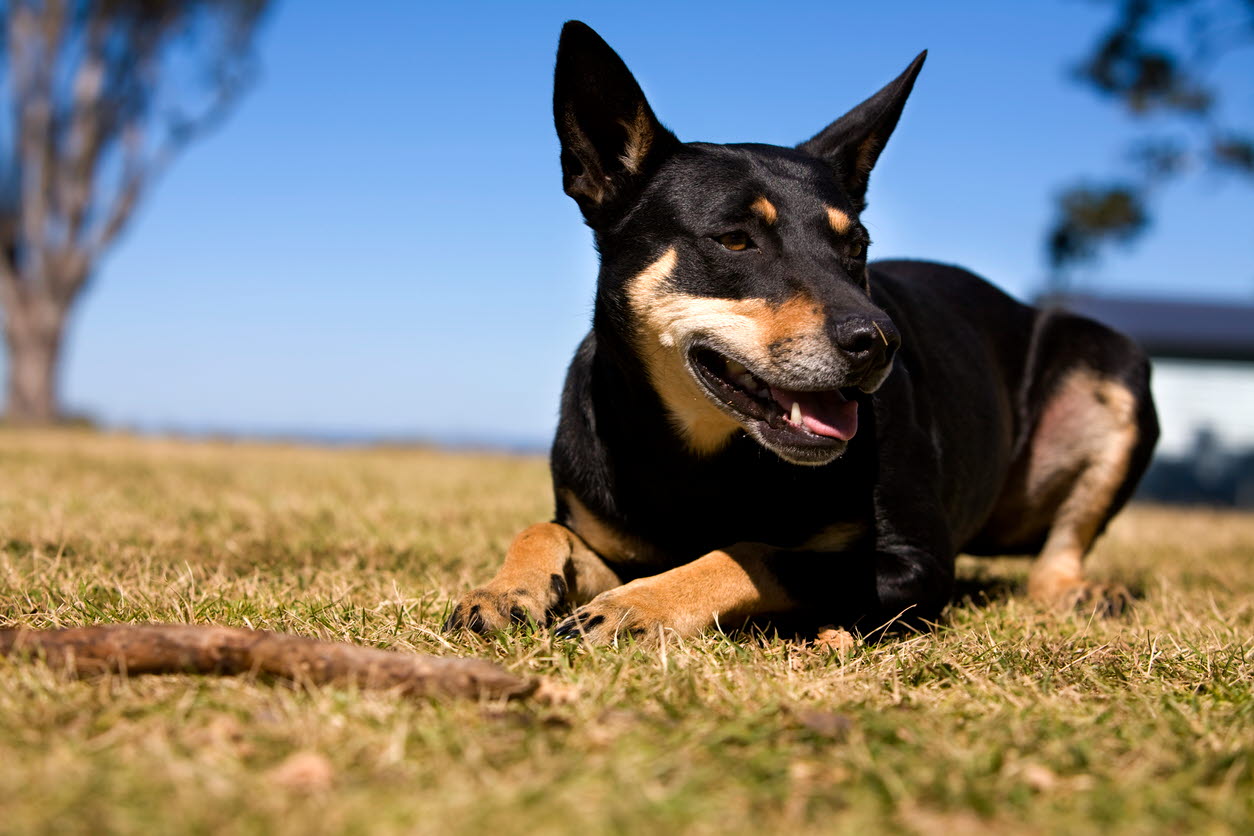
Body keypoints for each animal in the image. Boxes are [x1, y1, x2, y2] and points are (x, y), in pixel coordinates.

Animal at [446, 21, 1158, 646]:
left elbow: (753, 551)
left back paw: (1081, 592)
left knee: (1055, 557)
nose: (881, 343)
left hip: (1114, 366)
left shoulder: (915, 561)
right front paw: (502, 590)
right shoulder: (606, 537)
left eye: (858, 246)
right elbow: (542, 530)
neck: (703, 452)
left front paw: (636, 607)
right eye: (735, 240)